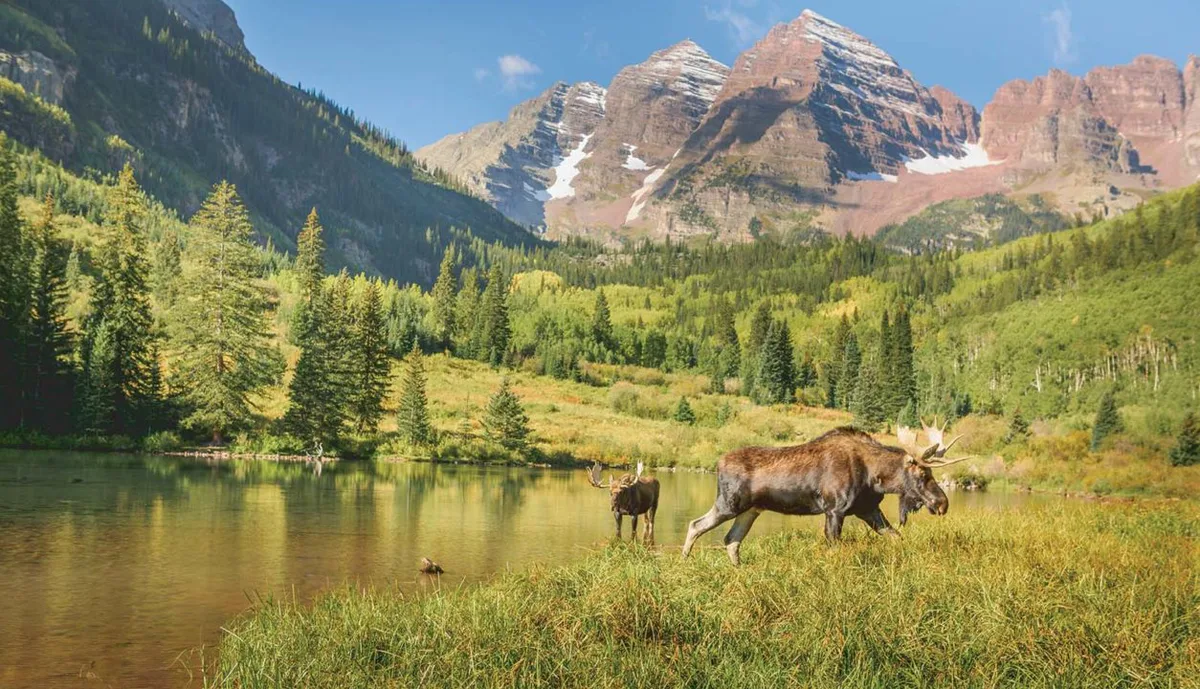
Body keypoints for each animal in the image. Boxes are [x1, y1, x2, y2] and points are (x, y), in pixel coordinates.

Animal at [682, 419, 972, 565]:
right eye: (923, 474)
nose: (942, 503)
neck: (874, 477)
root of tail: (717, 463)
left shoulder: (868, 509)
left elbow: (896, 537)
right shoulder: (834, 509)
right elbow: (835, 549)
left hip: (750, 510)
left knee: (731, 540)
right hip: (730, 503)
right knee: (695, 524)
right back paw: (684, 561)